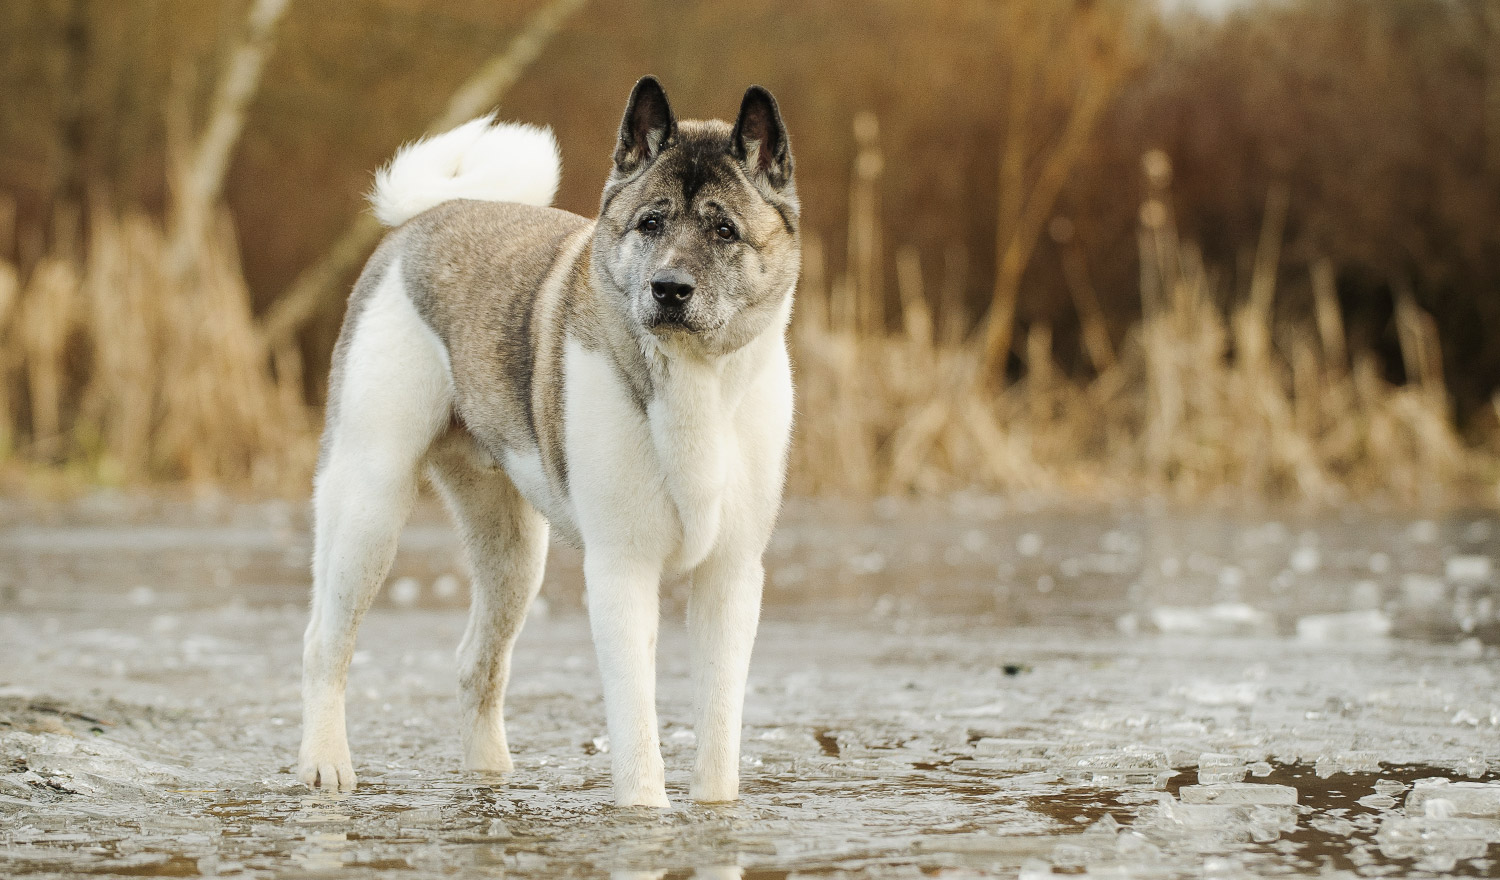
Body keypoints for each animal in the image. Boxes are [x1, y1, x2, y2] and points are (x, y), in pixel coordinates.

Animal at [297, 79, 804, 809]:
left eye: (724, 230)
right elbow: (637, 729)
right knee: (324, 642)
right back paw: (324, 764)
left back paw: (489, 777)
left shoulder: (730, 578)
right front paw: (645, 814)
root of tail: (432, 216)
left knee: (476, 664)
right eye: (650, 224)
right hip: (371, 505)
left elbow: (718, 734)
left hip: (513, 555)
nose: (669, 289)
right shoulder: (621, 572)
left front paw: (715, 812)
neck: (693, 380)